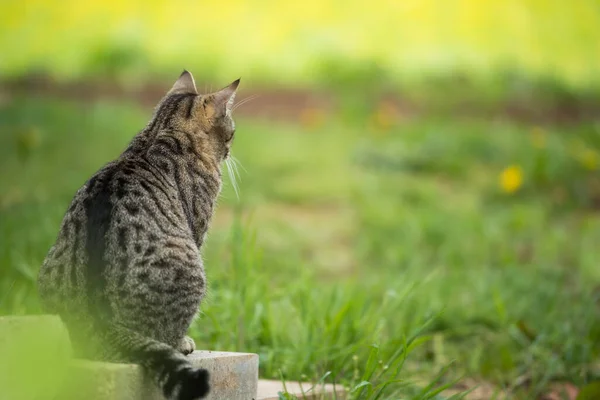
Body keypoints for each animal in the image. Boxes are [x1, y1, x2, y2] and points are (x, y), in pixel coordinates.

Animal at [37, 70, 239, 398]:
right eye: (231, 133)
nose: (230, 149)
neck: (160, 133)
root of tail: (101, 322)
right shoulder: (197, 229)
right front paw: (186, 342)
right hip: (192, 268)